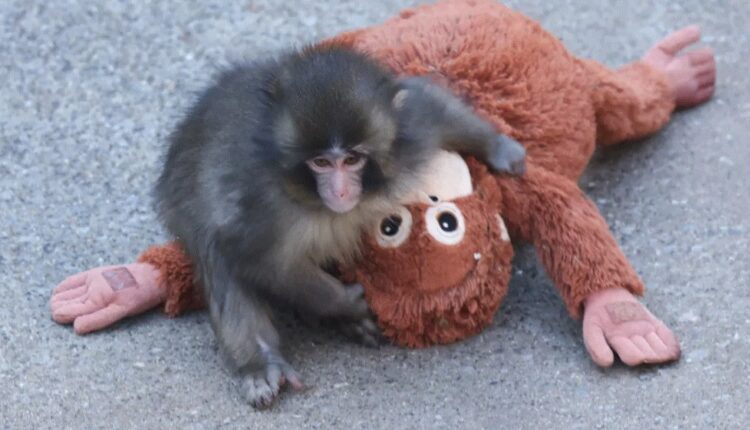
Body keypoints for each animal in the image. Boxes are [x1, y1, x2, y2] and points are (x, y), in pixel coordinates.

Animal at [154, 45, 526, 408]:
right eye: (320, 162)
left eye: (351, 159)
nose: (341, 191)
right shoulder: (260, 205)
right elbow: (261, 260)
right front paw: (346, 303)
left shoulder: (408, 134)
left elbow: (431, 105)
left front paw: (499, 147)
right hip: (182, 207)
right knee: (216, 254)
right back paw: (261, 361)